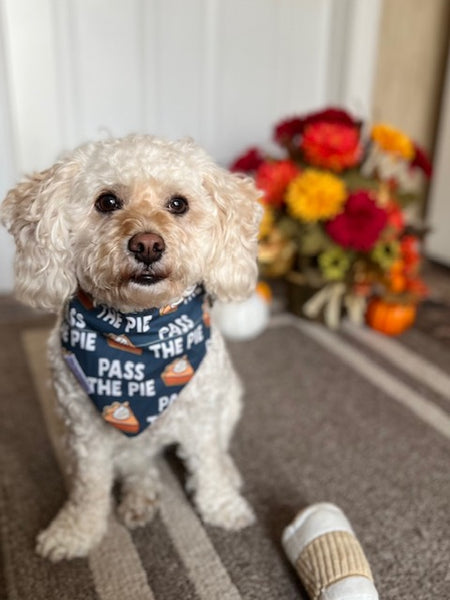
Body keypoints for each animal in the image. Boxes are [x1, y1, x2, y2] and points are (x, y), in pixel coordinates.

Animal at [0, 136, 262, 564]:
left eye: (178, 204)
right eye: (106, 201)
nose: (147, 245)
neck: (138, 334)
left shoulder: (202, 417)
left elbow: (207, 462)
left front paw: (222, 505)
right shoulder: (85, 432)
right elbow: (89, 488)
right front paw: (76, 531)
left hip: (230, 399)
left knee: (217, 450)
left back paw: (226, 473)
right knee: (137, 465)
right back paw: (140, 496)